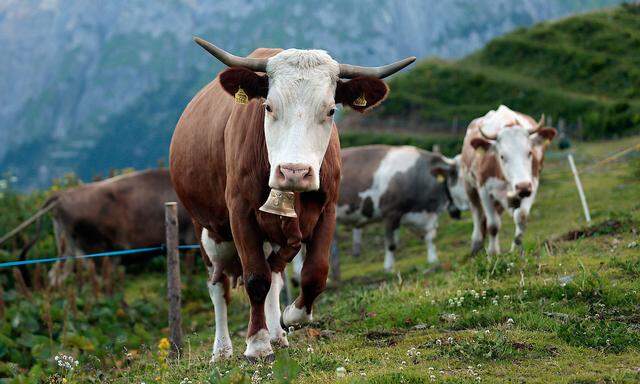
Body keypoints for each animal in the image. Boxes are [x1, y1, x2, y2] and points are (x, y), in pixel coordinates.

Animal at [169, 37, 416, 362]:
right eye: (268, 106)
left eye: (331, 110)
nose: (294, 172)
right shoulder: (240, 213)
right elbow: (255, 278)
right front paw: (257, 343)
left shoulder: (327, 211)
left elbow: (314, 273)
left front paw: (291, 317)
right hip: (207, 229)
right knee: (219, 284)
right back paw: (222, 350)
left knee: (275, 274)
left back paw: (277, 333)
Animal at [460, 105, 556, 255]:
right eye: (502, 156)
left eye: (530, 152)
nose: (523, 187)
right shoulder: (484, 189)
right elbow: (493, 225)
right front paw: (493, 253)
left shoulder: (533, 184)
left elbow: (521, 217)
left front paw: (515, 249)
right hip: (469, 185)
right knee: (477, 212)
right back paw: (476, 244)